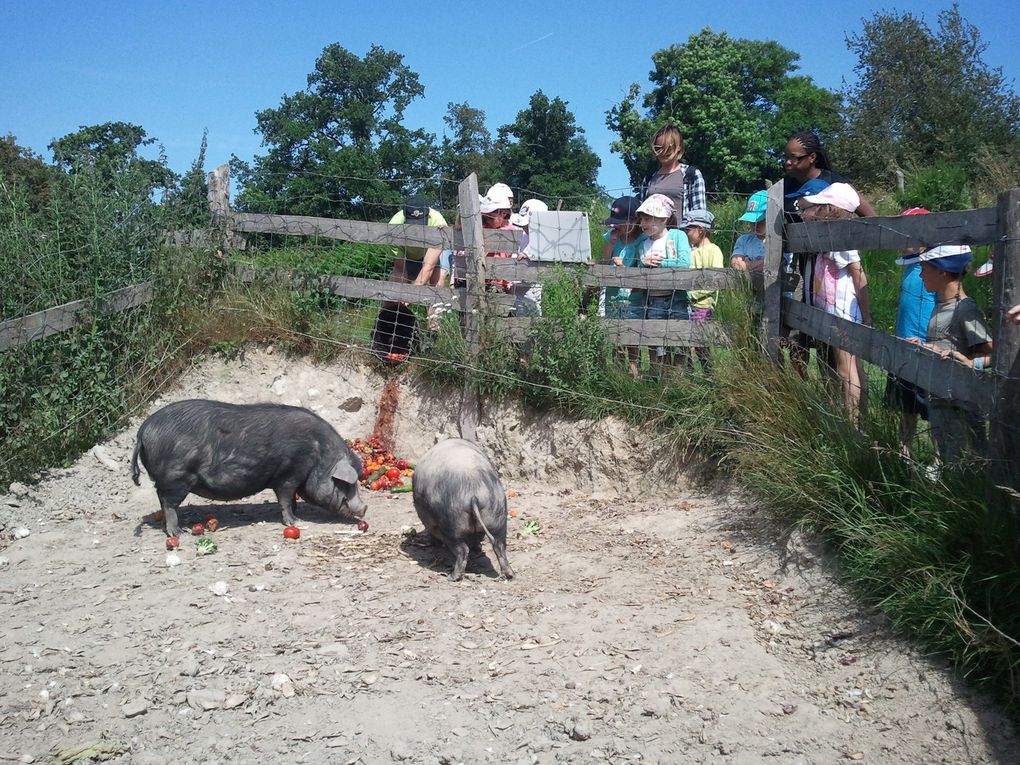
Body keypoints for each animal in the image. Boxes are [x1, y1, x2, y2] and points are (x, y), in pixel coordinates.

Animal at [129, 401, 365, 538]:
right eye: (345, 483)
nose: (364, 508)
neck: (318, 456)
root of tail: (143, 429)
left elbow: (291, 498)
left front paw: (297, 513)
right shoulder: (288, 474)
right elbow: (285, 498)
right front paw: (294, 521)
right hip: (176, 478)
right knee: (168, 504)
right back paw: (179, 533)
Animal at [410, 436, 514, 579]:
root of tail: (473, 493)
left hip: (452, 526)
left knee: (463, 550)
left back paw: (452, 577)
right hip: (498, 517)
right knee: (499, 546)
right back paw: (509, 574)